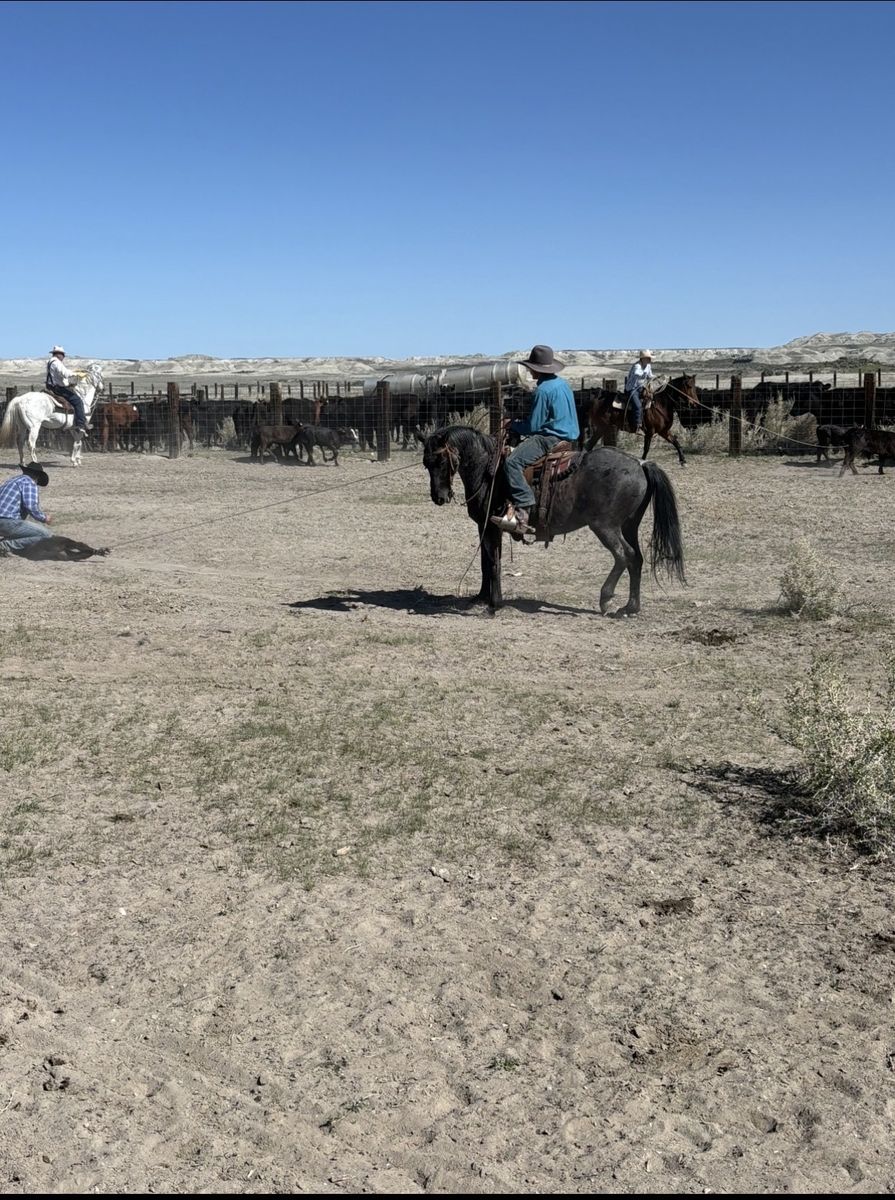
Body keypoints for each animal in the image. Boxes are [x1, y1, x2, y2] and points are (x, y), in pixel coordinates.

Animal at [422, 426, 685, 615]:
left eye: (441, 461)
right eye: (426, 464)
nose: (439, 497)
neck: (488, 470)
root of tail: (640, 464)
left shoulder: (492, 528)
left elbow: (494, 562)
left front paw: (494, 603)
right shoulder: (484, 526)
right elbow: (485, 562)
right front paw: (480, 597)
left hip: (605, 526)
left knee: (624, 555)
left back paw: (605, 597)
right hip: (629, 525)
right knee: (637, 559)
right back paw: (630, 607)